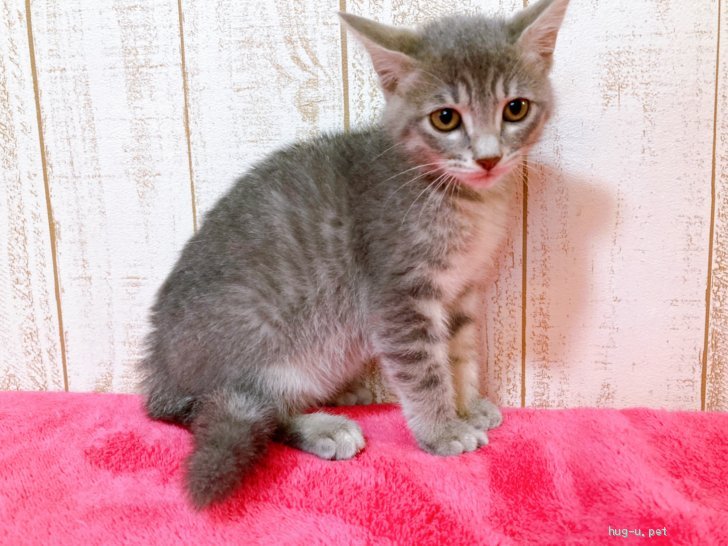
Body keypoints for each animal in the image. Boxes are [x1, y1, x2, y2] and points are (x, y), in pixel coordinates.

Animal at [139, 0, 569, 508]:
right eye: (445, 118)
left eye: (515, 108)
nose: (487, 158)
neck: (462, 200)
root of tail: (161, 379)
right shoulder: (398, 297)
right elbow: (425, 370)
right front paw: (442, 430)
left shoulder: (460, 290)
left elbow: (459, 353)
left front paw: (465, 405)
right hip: (262, 351)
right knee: (246, 409)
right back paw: (323, 426)